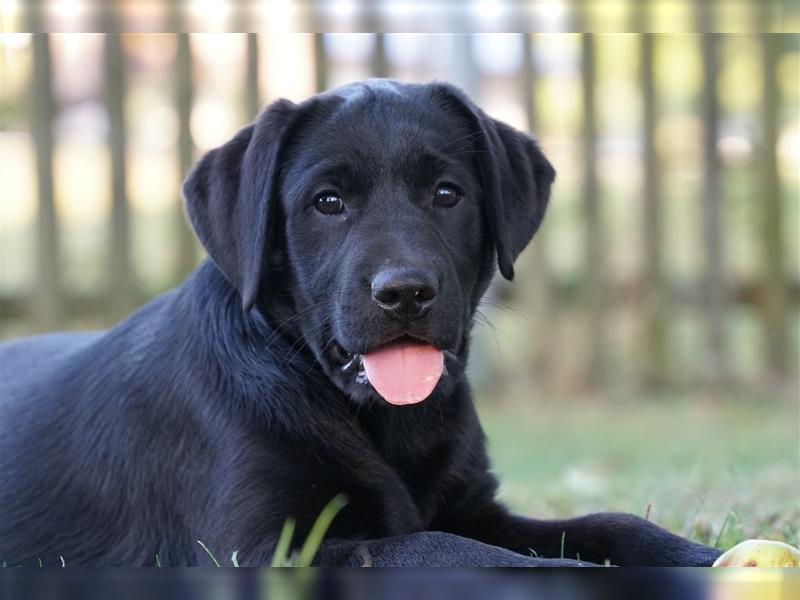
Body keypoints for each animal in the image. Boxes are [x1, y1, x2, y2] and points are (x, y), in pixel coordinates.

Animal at [0, 81, 720, 568]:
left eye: (447, 193)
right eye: (328, 202)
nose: (404, 292)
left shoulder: (477, 506)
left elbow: (609, 522)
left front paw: (703, 559)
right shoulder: (270, 550)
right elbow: (442, 549)